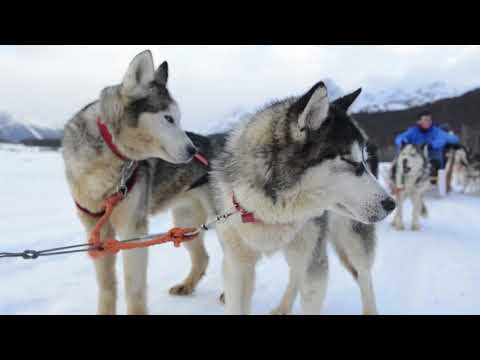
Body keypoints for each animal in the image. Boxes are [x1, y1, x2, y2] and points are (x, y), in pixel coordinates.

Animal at [61, 49, 209, 314]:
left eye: (179, 118)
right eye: (169, 118)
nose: (194, 150)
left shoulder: (133, 230)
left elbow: (134, 289)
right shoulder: (96, 231)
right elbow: (107, 288)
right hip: (185, 223)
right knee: (202, 257)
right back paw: (186, 286)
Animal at [209, 83, 394, 314]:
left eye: (363, 161)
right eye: (351, 161)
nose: (391, 204)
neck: (273, 209)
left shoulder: (315, 265)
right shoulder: (237, 266)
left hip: (351, 241)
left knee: (364, 276)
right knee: (296, 273)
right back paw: (283, 307)